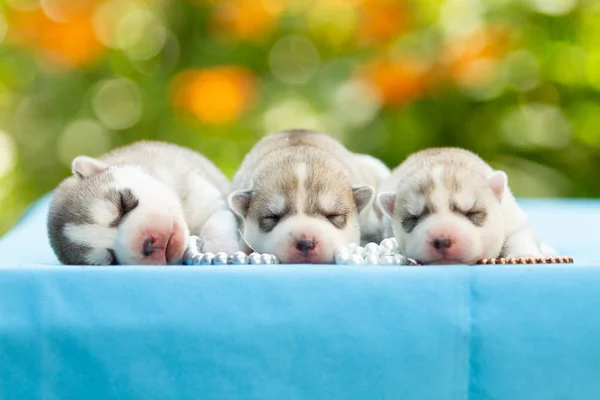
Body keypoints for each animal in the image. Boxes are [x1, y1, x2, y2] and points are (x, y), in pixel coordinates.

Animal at [47, 141, 239, 266]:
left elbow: (215, 223)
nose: (148, 243)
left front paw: (219, 250)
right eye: (113, 260)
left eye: (122, 203)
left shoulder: (205, 197)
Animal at [378, 148, 556, 264]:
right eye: (413, 218)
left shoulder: (510, 216)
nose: (442, 240)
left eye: (471, 212)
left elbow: (519, 235)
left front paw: (525, 254)